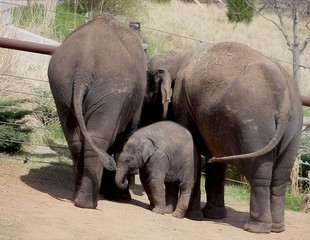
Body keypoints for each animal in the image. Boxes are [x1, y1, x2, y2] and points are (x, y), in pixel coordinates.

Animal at [47, 15, 147, 209]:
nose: (126, 182)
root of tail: (85, 65)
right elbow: (125, 138)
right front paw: (121, 196)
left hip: (62, 83)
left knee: (75, 140)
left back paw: (77, 197)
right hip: (111, 88)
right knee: (98, 138)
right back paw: (87, 203)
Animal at [145, 42, 302, 233]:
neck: (177, 58)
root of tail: (284, 103)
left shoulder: (182, 103)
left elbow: (193, 152)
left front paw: (191, 216)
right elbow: (216, 160)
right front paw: (212, 216)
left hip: (253, 128)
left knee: (259, 173)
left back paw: (255, 228)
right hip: (293, 131)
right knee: (280, 178)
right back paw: (276, 229)